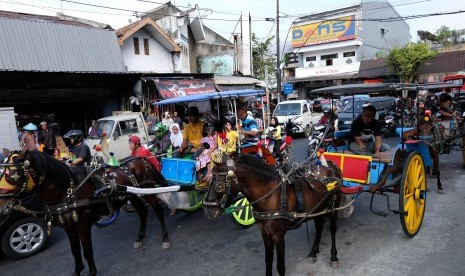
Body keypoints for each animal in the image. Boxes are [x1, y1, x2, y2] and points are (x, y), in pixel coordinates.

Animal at [0, 151, 169, 276]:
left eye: (13, 176)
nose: (1, 206)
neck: (68, 192)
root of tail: (142, 160)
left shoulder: (83, 227)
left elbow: (87, 251)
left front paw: (92, 272)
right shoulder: (69, 228)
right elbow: (75, 251)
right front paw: (77, 270)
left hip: (149, 191)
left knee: (159, 212)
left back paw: (165, 238)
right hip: (132, 196)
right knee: (142, 212)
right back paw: (139, 238)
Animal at [205, 153, 342, 276]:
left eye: (218, 184)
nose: (207, 210)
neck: (271, 196)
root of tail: (330, 164)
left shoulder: (278, 235)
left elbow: (280, 266)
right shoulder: (265, 233)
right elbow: (268, 260)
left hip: (335, 205)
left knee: (332, 229)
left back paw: (333, 256)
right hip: (317, 208)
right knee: (319, 226)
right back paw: (313, 252)